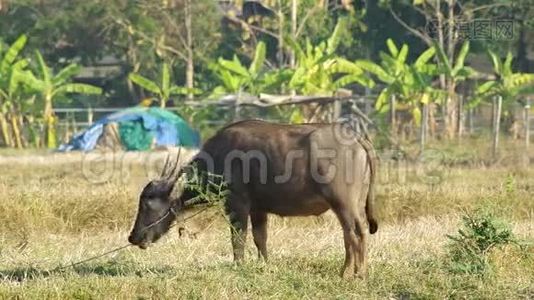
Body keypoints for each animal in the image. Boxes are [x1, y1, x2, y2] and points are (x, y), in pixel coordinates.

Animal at [129, 119, 382, 278]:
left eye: (148, 203)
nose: (133, 237)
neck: (218, 158)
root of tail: (356, 138)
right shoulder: (259, 209)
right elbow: (261, 238)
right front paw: (265, 265)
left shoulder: (236, 204)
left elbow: (238, 238)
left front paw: (238, 265)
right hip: (348, 205)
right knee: (349, 234)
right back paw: (347, 272)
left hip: (343, 203)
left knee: (356, 232)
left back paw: (357, 274)